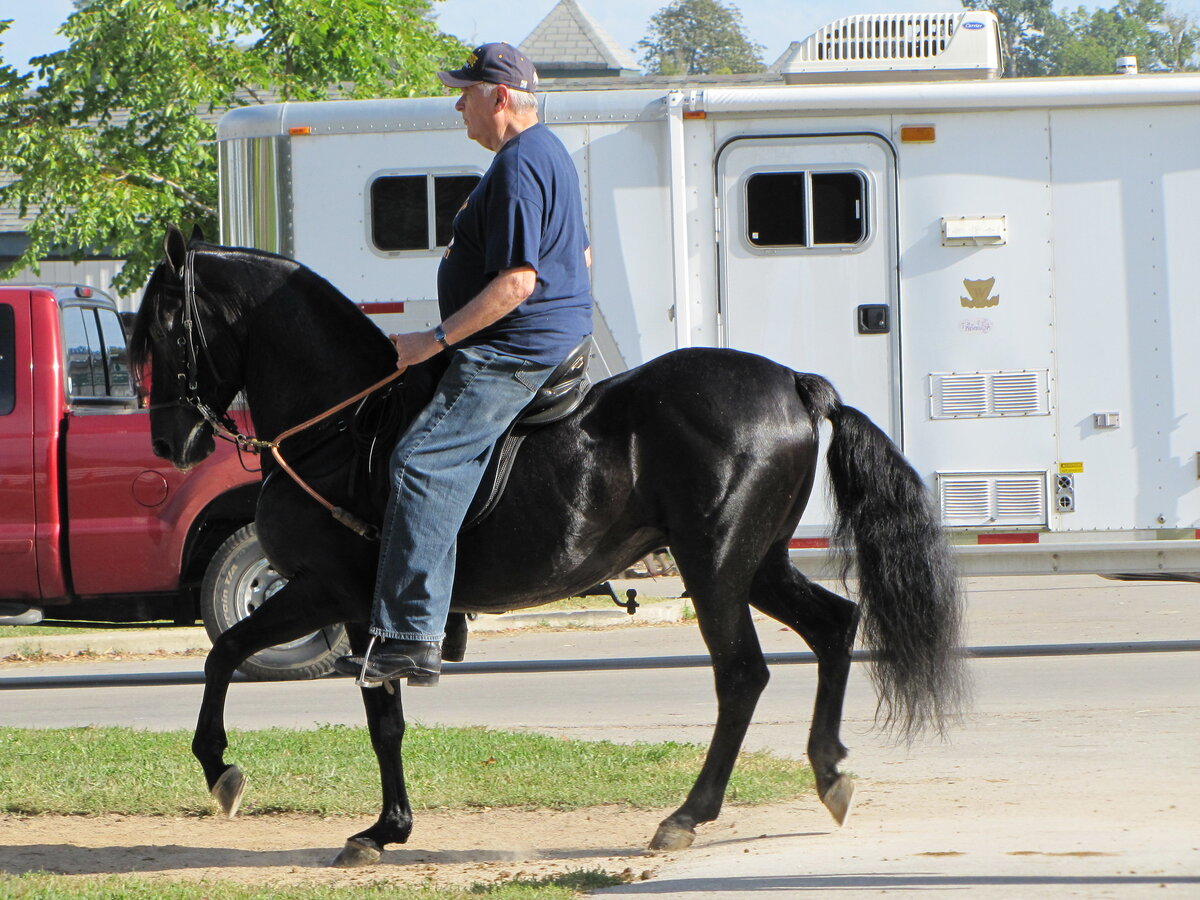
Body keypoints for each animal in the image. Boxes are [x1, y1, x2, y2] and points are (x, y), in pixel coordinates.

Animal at [131, 229, 964, 868]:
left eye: (165, 332)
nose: (170, 442)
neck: (338, 424)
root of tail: (792, 383)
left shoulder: (337, 591)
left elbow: (348, 702)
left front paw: (350, 817)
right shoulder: (332, 596)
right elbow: (239, 658)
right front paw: (257, 781)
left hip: (717, 565)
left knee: (742, 675)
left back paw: (688, 814)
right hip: (758, 563)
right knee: (833, 625)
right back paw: (828, 772)